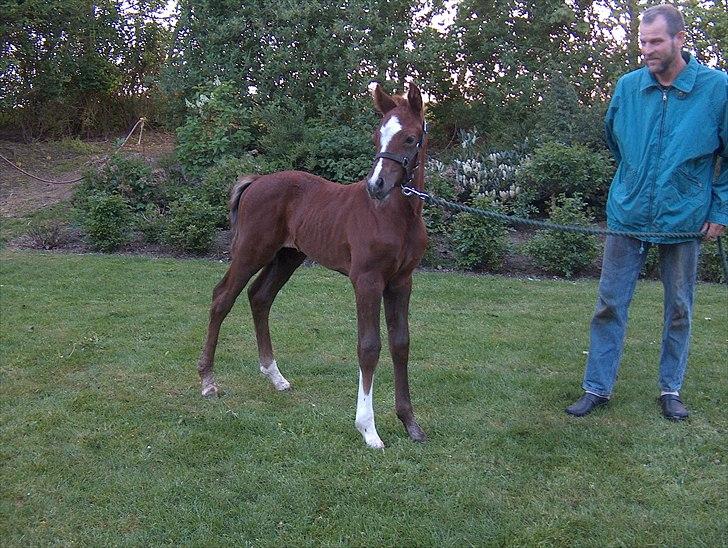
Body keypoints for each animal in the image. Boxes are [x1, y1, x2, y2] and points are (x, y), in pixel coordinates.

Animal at [196, 82, 430, 450]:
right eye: (376, 136)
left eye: (409, 138)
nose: (375, 186)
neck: (394, 216)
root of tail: (256, 181)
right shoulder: (367, 280)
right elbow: (369, 347)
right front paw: (368, 429)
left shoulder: (401, 281)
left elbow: (401, 344)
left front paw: (410, 423)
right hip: (251, 251)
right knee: (223, 298)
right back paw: (208, 381)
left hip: (287, 257)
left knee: (259, 297)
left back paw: (275, 377)